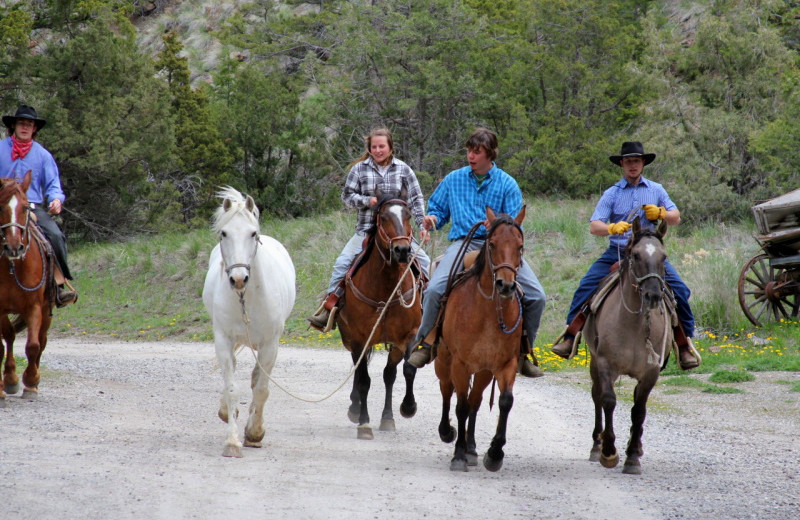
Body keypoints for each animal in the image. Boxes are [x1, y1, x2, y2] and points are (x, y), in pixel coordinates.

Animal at [203, 186, 296, 456]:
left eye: (253, 234)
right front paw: (233, 441)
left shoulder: (270, 345)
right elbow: (232, 389)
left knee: (256, 380)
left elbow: (262, 389)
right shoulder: (223, 340)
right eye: (224, 233)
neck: (248, 298)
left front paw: (254, 433)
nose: (238, 279)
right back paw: (228, 413)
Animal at [334, 189, 424, 440]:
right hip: (351, 340)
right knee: (358, 371)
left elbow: (406, 369)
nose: (402, 250)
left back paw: (386, 417)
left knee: (388, 374)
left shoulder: (408, 335)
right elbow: (364, 380)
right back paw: (355, 409)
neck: (386, 286)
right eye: (383, 217)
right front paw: (364, 424)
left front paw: (407, 408)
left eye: (408, 215)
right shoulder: (359, 338)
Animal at [434, 206, 528, 472]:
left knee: (475, 401)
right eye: (493, 244)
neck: (487, 312)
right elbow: (460, 406)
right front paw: (457, 455)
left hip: (484, 371)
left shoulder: (504, 364)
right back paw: (447, 432)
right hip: (444, 360)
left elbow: (505, 401)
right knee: (447, 391)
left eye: (520, 246)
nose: (506, 285)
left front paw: (494, 453)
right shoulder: (460, 364)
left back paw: (472, 448)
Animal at [584, 216, 672, 476]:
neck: (634, 324)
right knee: (596, 396)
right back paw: (597, 446)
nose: (653, 295)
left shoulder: (651, 372)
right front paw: (609, 452)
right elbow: (608, 401)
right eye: (635, 255)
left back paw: (638, 446)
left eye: (664, 257)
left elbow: (639, 409)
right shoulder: (605, 364)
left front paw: (632, 456)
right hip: (594, 364)